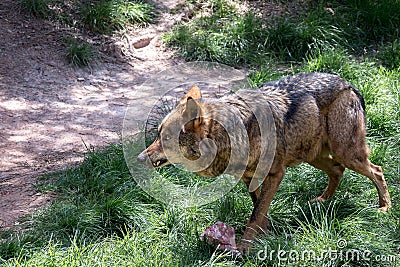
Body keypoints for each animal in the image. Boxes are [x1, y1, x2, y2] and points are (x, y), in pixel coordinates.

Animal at [137, 72, 390, 254]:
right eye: (157, 135)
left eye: (165, 139)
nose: (139, 158)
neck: (232, 136)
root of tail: (349, 84)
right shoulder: (249, 179)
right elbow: (260, 211)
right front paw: (267, 236)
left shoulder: (275, 174)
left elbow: (255, 215)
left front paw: (245, 248)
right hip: (314, 156)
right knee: (337, 170)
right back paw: (322, 201)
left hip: (347, 154)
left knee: (377, 170)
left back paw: (384, 208)